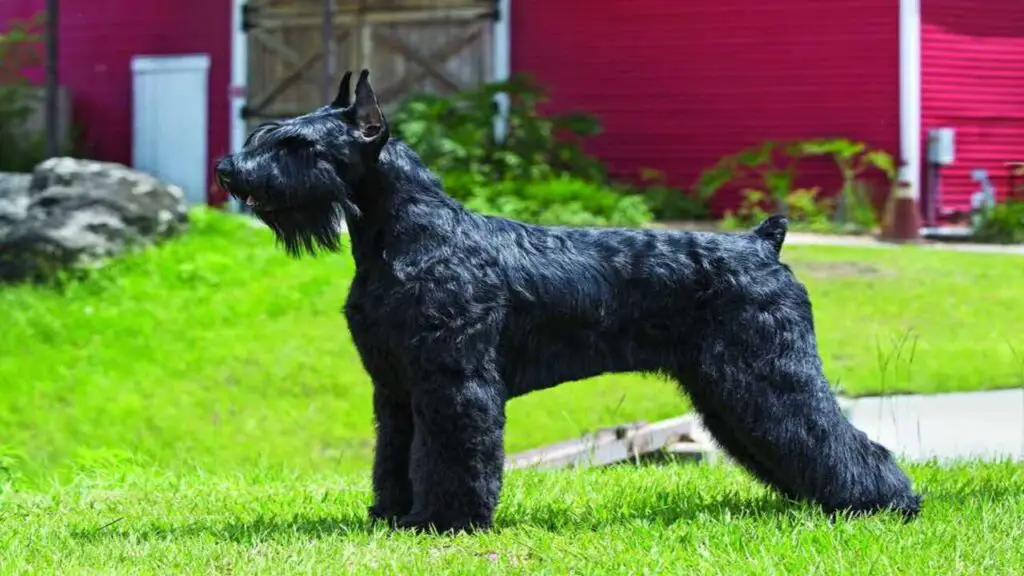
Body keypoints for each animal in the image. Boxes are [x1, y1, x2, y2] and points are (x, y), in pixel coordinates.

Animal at [214, 69, 921, 532]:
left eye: (298, 145)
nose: (227, 170)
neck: (406, 234)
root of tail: (763, 241)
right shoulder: (396, 387)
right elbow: (396, 454)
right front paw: (391, 515)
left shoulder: (454, 381)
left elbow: (452, 454)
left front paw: (444, 521)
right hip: (729, 387)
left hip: (770, 373)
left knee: (833, 435)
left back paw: (886, 502)